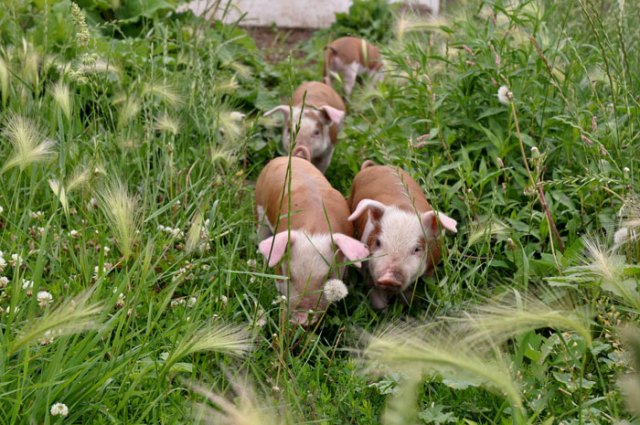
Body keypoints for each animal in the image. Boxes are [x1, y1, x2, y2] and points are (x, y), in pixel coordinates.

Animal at [255, 155, 369, 325]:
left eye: (328, 278)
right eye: (290, 276)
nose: (302, 318)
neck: (314, 230)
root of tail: (283, 158)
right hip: (259, 209)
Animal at [347, 161, 457, 309]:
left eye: (417, 249)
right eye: (378, 242)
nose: (389, 279)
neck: (404, 209)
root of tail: (375, 166)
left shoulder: (432, 265)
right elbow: (376, 296)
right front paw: (384, 309)